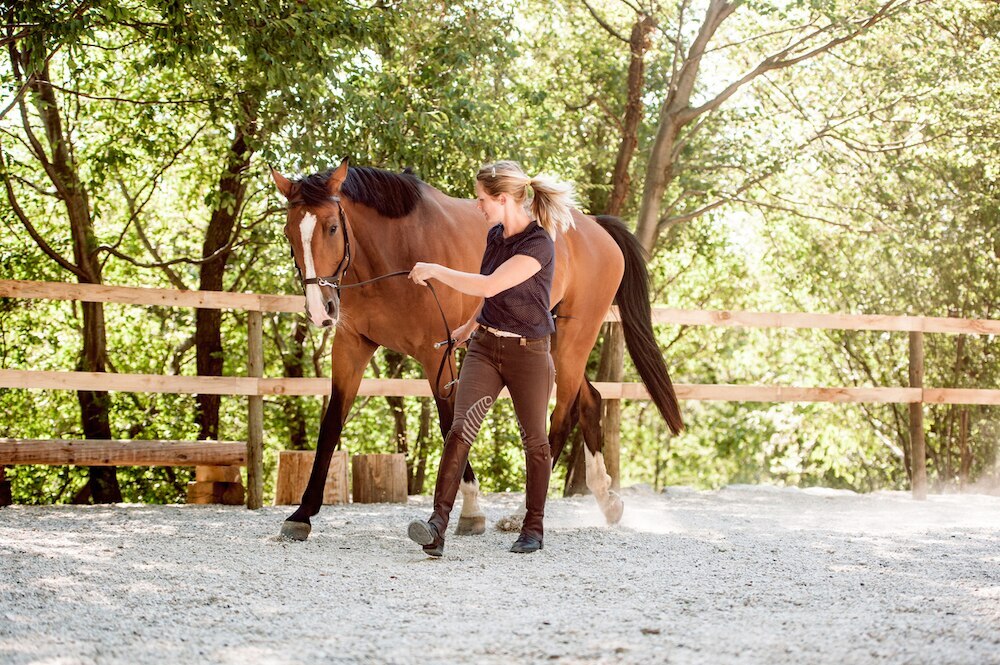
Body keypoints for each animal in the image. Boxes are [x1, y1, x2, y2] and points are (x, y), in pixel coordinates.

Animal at [271, 158, 683, 541]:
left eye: (332, 227)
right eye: (290, 232)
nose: (320, 310)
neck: (396, 250)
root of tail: (596, 227)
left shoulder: (438, 353)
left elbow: (450, 421)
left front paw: (470, 508)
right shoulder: (351, 346)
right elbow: (331, 424)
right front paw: (302, 514)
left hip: (573, 339)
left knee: (562, 414)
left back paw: (520, 514)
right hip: (550, 342)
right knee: (591, 399)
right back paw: (607, 501)